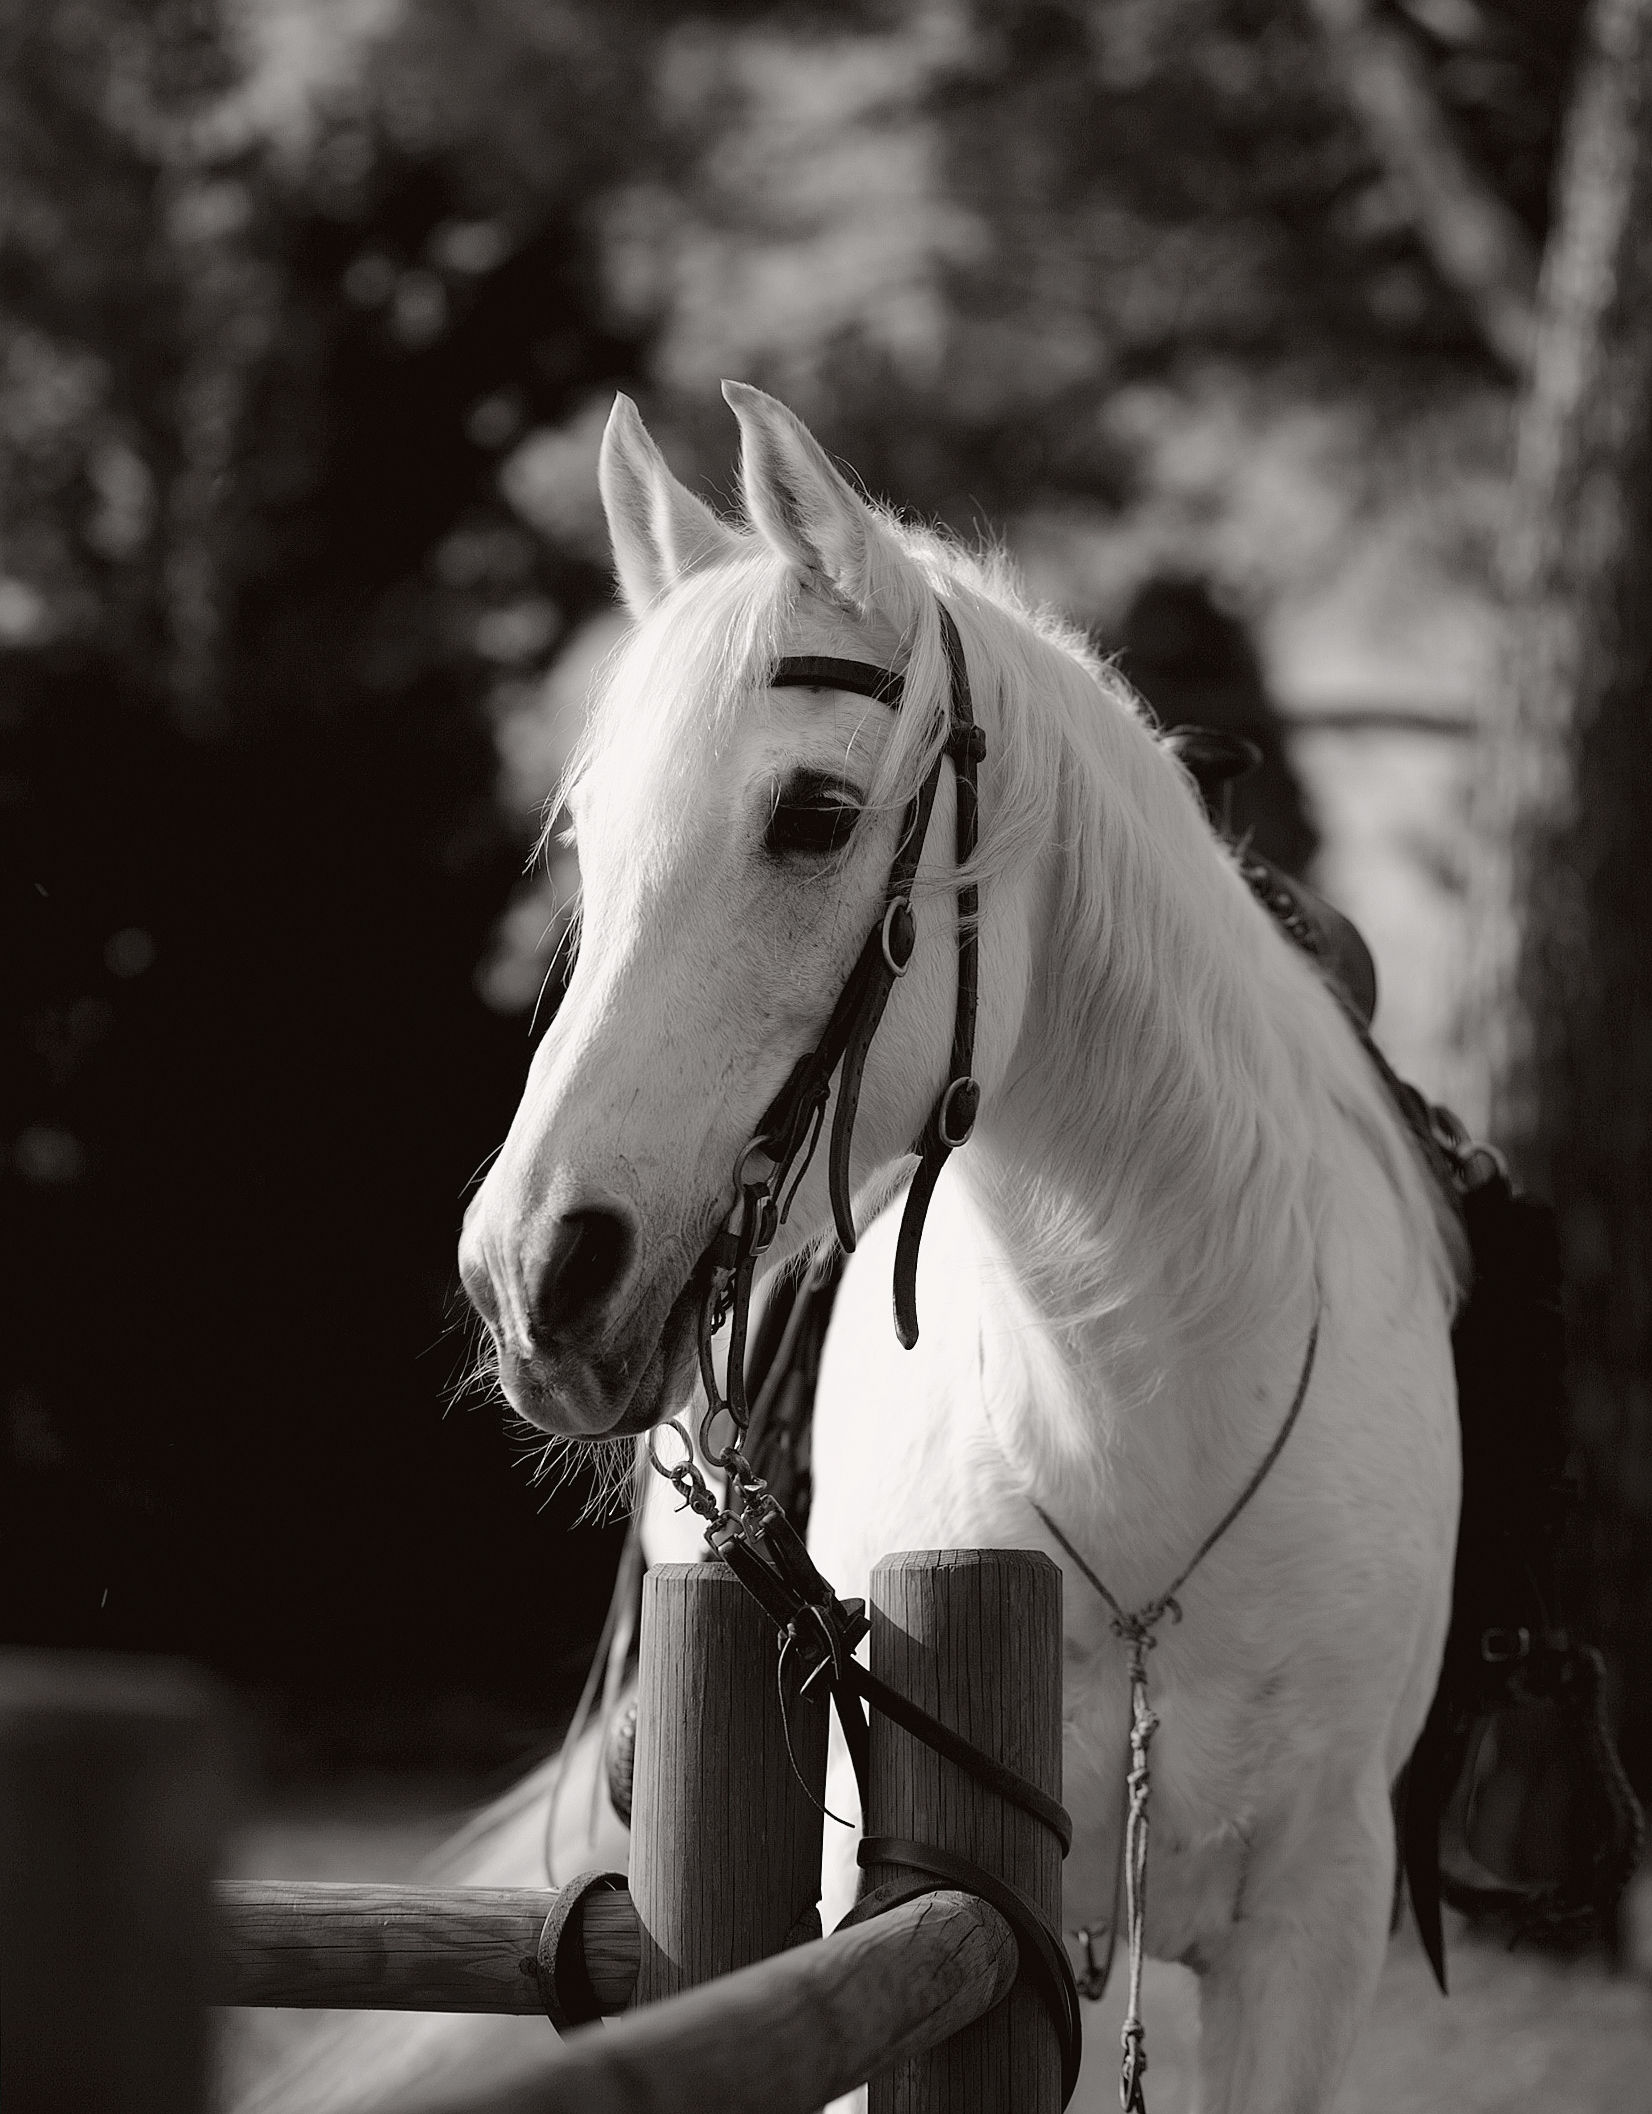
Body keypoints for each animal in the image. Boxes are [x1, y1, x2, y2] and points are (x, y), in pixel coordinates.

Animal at [241, 382, 1465, 2114]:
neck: (1145, 1405)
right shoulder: (913, 1904)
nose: (531, 1273)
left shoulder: (1315, 1924)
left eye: (815, 815)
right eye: (590, 834)